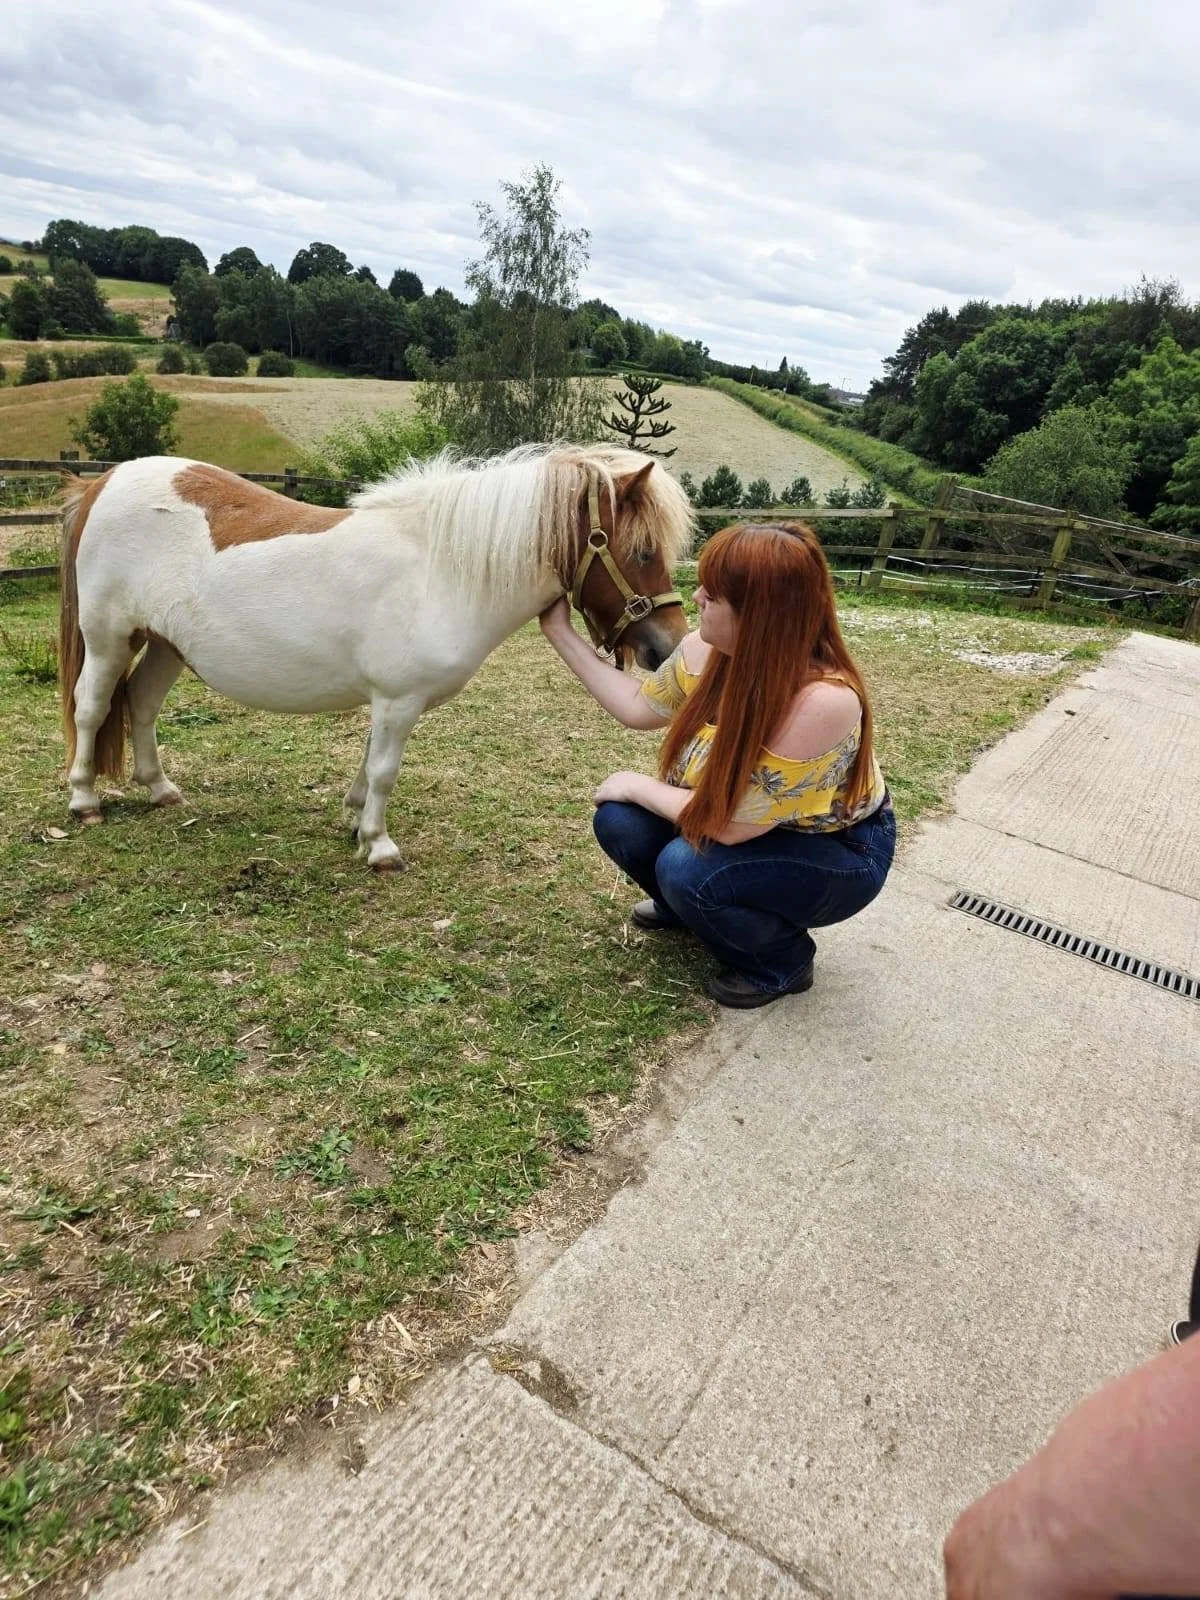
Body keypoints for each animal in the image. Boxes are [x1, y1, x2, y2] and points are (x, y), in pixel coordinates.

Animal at [57, 444, 693, 870]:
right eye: (641, 551)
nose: (667, 648)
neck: (440, 570)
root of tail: (104, 483)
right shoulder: (399, 700)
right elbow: (386, 769)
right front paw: (381, 846)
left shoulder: (385, 702)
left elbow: (368, 762)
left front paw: (357, 821)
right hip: (109, 637)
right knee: (92, 707)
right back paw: (84, 799)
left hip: (166, 644)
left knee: (140, 705)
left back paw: (161, 789)